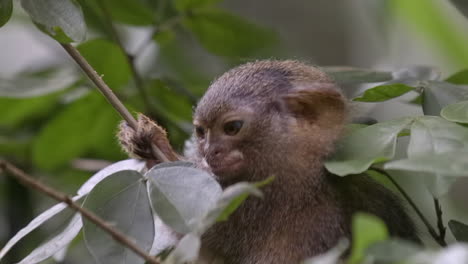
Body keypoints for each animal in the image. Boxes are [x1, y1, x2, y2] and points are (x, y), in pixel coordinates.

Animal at [119, 59, 418, 264]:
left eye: (232, 128)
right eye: (201, 132)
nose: (210, 152)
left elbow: (200, 233)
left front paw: (161, 152)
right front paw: (151, 145)